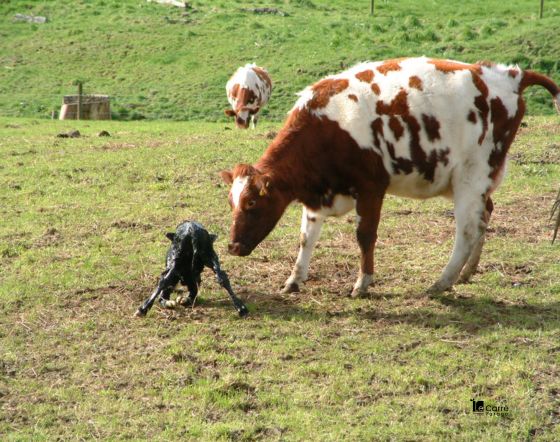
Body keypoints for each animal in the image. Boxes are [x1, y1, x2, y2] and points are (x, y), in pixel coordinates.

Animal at [220, 56, 560, 296]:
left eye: (252, 203)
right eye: (232, 203)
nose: (232, 247)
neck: (327, 126)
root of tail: (509, 75)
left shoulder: (371, 187)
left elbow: (365, 236)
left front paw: (362, 283)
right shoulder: (318, 195)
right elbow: (306, 237)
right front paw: (294, 279)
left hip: (471, 177)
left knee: (467, 229)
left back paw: (443, 281)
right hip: (475, 183)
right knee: (485, 214)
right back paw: (466, 272)